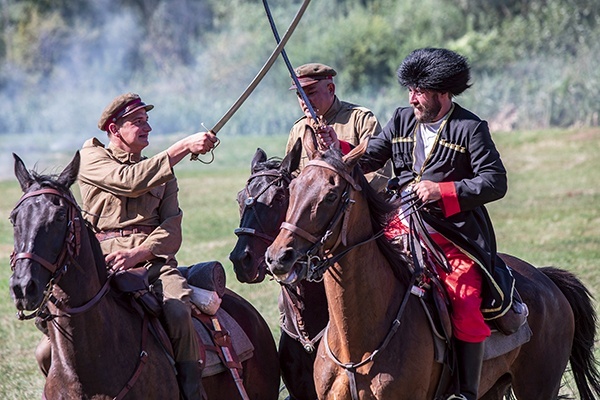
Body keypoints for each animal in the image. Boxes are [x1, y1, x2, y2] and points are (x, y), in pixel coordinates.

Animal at [266, 135, 600, 400]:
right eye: (292, 189)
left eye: (331, 195)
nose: (278, 256)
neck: (357, 344)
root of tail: (547, 280)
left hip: (538, 388)